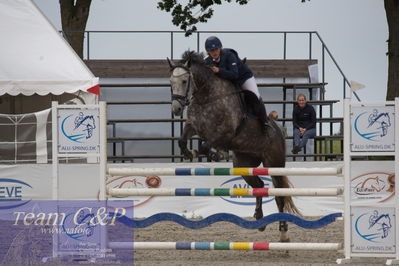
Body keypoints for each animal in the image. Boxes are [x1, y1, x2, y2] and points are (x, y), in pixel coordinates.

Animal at [168, 51, 300, 242]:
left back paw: (283, 233)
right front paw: (189, 153)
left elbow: (207, 144)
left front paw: (216, 154)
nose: (176, 109)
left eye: (185, 81)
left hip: (274, 164)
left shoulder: (226, 132)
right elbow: (182, 140)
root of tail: (278, 130)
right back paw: (259, 219)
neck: (206, 96)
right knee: (260, 185)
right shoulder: (194, 126)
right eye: (170, 82)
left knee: (279, 196)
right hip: (244, 164)